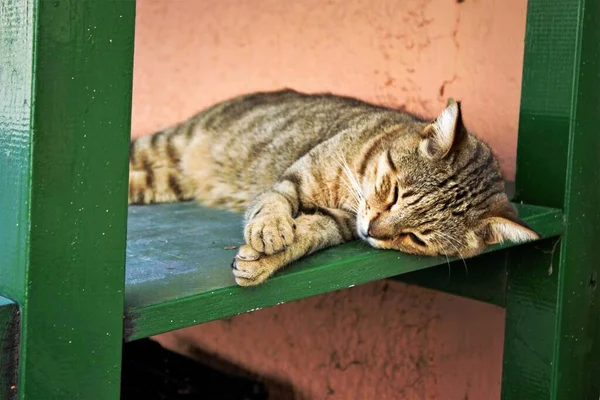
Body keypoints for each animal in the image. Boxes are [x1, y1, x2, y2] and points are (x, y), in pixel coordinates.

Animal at [130, 89, 540, 286]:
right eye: (394, 194)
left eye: (417, 239)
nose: (372, 231)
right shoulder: (296, 178)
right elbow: (274, 202)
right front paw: (270, 229)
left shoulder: (338, 221)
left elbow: (309, 234)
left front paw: (265, 260)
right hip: (164, 144)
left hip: (163, 181)